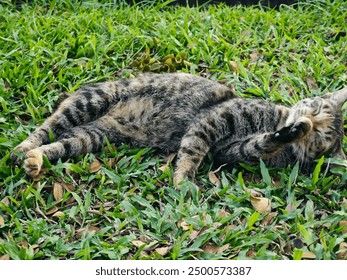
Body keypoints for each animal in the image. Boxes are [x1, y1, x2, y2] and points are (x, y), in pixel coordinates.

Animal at [12, 73, 346, 185]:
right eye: (316, 108)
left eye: (320, 137)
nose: (307, 120)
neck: (273, 120)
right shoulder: (215, 118)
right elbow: (192, 151)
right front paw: (183, 180)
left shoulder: (236, 150)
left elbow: (263, 143)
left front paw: (291, 134)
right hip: (88, 102)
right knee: (45, 128)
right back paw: (21, 150)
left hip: (91, 137)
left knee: (59, 144)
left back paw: (35, 161)